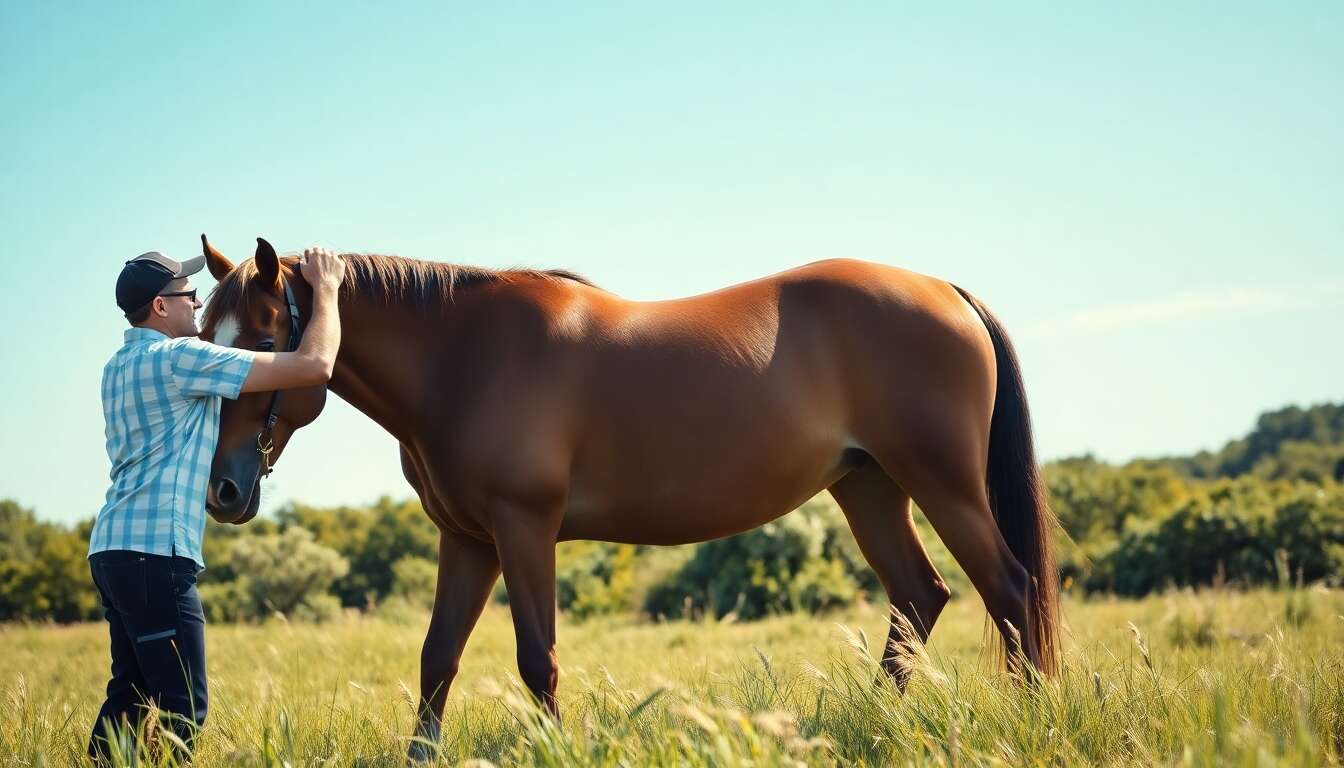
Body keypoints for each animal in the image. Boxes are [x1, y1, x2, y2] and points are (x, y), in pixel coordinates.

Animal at [198, 235, 1058, 757]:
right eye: (204, 340)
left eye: (261, 344)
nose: (224, 491)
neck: (463, 356)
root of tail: (944, 289)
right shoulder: (467, 539)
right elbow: (437, 659)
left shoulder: (522, 528)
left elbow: (536, 659)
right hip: (868, 487)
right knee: (921, 596)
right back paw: (869, 724)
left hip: (942, 484)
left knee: (1011, 591)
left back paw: (1030, 722)